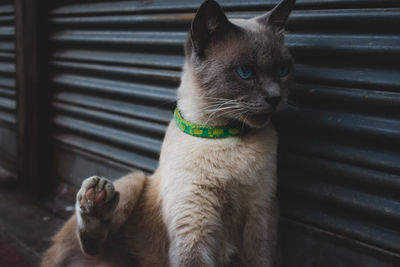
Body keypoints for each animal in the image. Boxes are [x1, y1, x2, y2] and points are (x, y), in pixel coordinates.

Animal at [42, 0, 296, 266]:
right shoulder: (194, 223)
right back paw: (97, 199)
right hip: (135, 179)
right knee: (91, 243)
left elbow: (261, 257)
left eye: (283, 70)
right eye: (245, 72)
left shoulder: (261, 218)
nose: (275, 97)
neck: (224, 135)